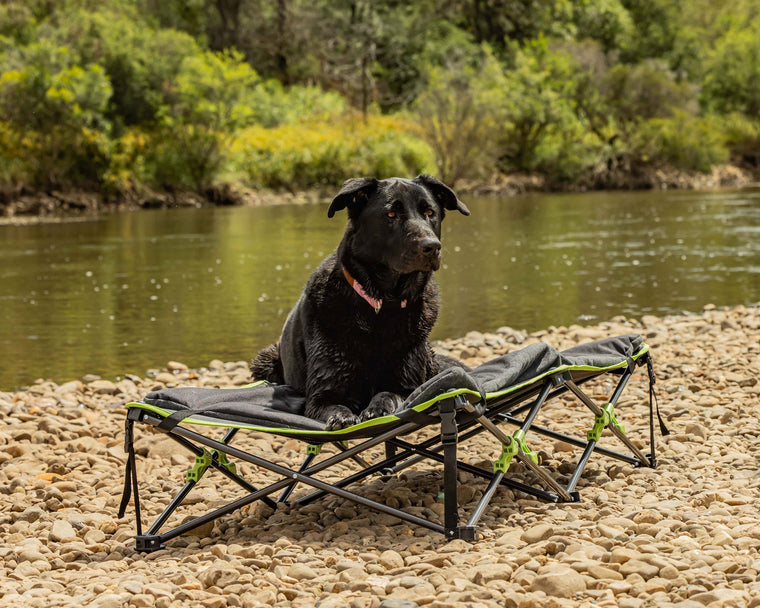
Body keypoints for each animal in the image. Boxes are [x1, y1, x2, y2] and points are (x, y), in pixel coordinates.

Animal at [252, 176, 470, 430]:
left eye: (429, 212)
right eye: (391, 215)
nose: (432, 246)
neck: (383, 306)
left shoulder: (408, 387)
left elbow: (387, 394)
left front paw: (377, 409)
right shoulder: (322, 395)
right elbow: (335, 405)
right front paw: (342, 417)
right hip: (265, 361)